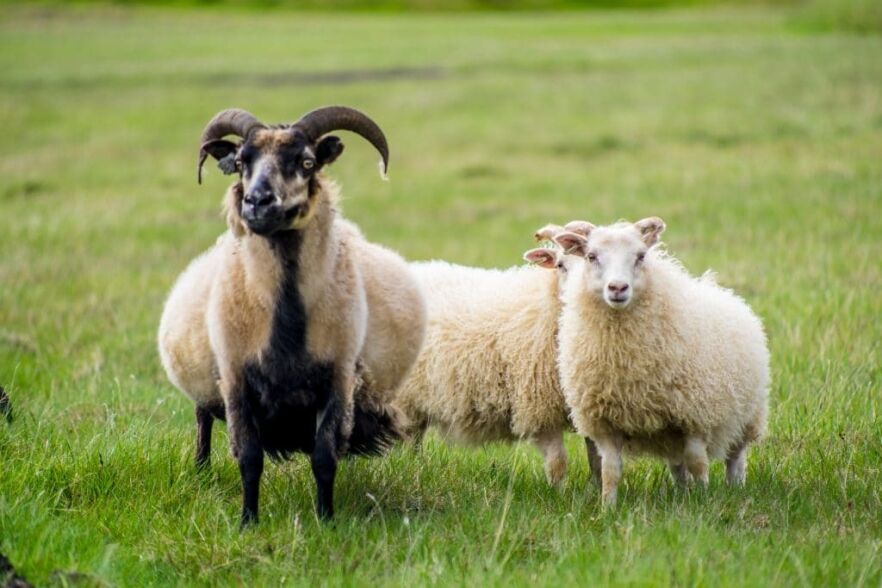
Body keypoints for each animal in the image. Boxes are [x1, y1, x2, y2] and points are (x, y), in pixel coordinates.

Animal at [158, 106, 426, 523]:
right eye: (240, 163)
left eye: (307, 162)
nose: (257, 202)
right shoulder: (236, 381)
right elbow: (250, 459)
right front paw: (248, 522)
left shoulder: (337, 379)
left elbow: (324, 458)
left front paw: (326, 519)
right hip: (206, 383)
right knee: (202, 422)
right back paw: (201, 472)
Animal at [395, 221, 598, 486]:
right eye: (561, 265)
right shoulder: (537, 405)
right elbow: (557, 464)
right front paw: (559, 493)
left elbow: (597, 461)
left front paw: (595, 490)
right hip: (404, 399)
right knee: (408, 441)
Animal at [553, 217, 769, 506]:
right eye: (591, 256)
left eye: (641, 256)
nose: (618, 288)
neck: (622, 356)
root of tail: (719, 289)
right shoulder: (606, 423)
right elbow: (610, 470)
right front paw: (608, 507)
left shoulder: (695, 414)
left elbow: (698, 463)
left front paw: (704, 498)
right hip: (669, 435)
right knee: (678, 466)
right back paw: (682, 493)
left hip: (746, 415)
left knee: (734, 457)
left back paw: (734, 488)